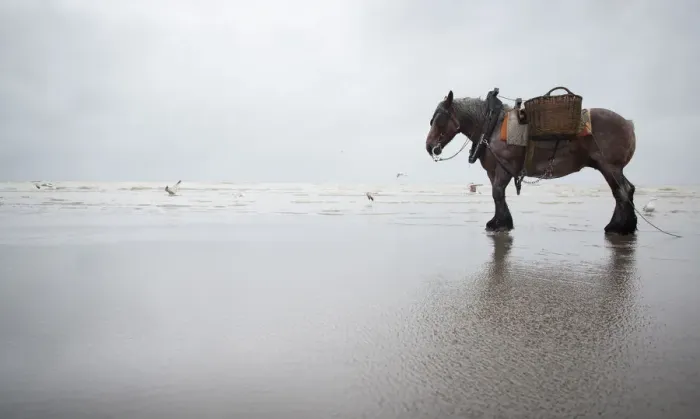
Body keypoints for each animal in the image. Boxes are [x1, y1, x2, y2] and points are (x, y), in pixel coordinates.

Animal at [425, 90, 638, 235]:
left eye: (439, 119)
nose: (429, 146)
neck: (491, 125)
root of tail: (628, 123)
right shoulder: (493, 171)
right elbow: (497, 195)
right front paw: (498, 221)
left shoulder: (504, 169)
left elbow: (497, 193)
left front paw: (501, 224)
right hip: (612, 168)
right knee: (627, 190)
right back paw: (626, 225)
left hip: (609, 167)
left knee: (621, 192)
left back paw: (617, 227)